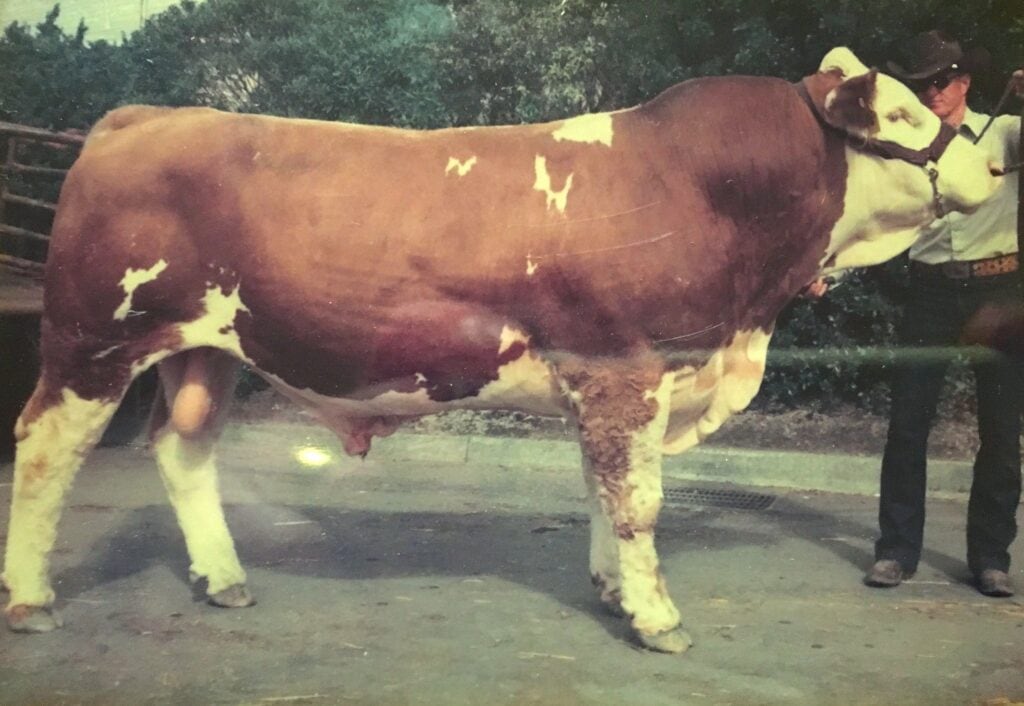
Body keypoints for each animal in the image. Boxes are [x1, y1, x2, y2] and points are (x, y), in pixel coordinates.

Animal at [1, 48, 1003, 653]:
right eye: (905, 115)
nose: (996, 163)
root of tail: (147, 116)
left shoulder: (609, 383)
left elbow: (604, 490)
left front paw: (613, 593)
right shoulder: (627, 366)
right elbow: (638, 501)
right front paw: (656, 617)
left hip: (207, 349)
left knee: (184, 450)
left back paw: (223, 579)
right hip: (93, 341)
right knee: (44, 451)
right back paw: (32, 598)